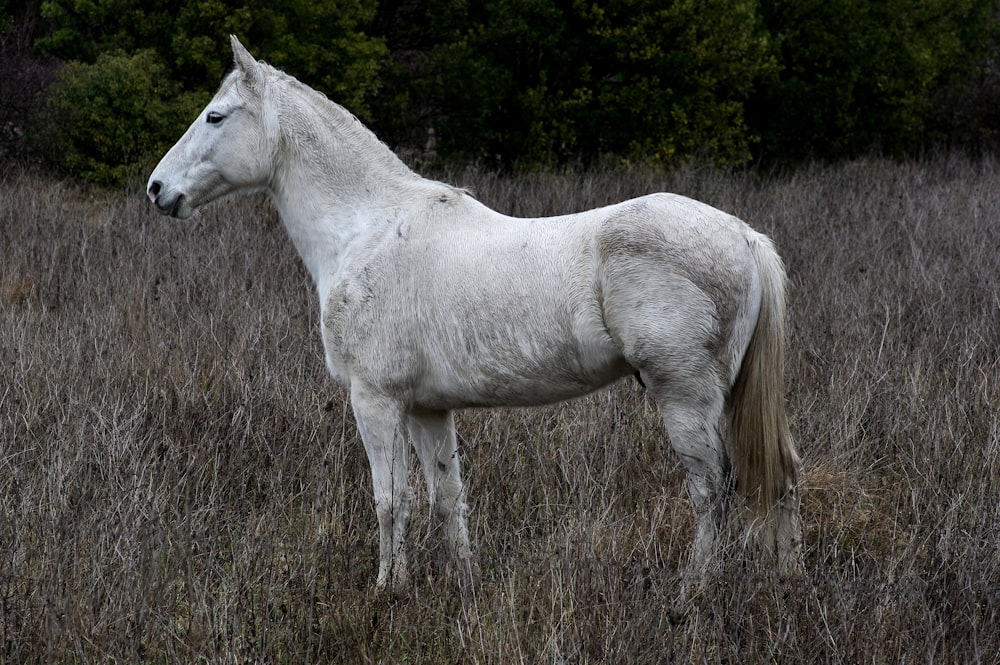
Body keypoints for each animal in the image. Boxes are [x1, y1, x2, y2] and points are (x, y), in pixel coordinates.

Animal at [148, 36, 804, 592]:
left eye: (216, 116)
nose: (157, 189)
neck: (368, 230)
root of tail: (745, 236)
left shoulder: (375, 400)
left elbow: (392, 501)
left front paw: (387, 590)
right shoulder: (426, 409)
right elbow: (446, 497)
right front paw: (461, 583)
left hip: (683, 395)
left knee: (710, 489)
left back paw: (694, 588)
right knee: (781, 474)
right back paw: (787, 579)